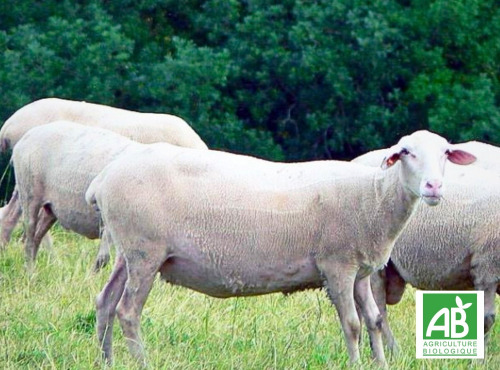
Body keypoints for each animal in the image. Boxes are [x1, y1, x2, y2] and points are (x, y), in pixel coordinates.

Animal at [84, 129, 474, 364]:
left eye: (445, 153)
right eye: (406, 152)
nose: (434, 187)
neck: (374, 198)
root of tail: (103, 178)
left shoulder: (360, 269)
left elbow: (375, 321)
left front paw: (379, 363)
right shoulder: (337, 265)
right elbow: (352, 324)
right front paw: (356, 363)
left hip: (129, 251)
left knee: (105, 302)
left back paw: (106, 361)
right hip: (145, 251)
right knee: (128, 311)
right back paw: (141, 363)